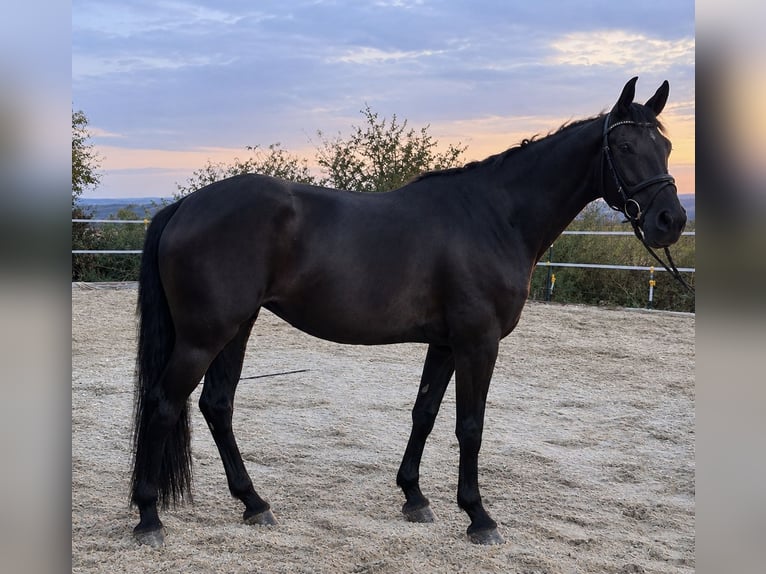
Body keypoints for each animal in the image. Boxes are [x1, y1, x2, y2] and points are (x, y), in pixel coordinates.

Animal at [129, 77, 687, 547]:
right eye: (624, 147)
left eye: (665, 148)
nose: (670, 220)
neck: (496, 217)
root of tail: (185, 206)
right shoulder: (478, 342)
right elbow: (470, 425)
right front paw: (479, 516)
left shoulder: (445, 343)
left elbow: (425, 413)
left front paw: (414, 497)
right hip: (205, 335)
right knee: (164, 403)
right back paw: (149, 518)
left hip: (236, 328)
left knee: (216, 405)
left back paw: (254, 503)